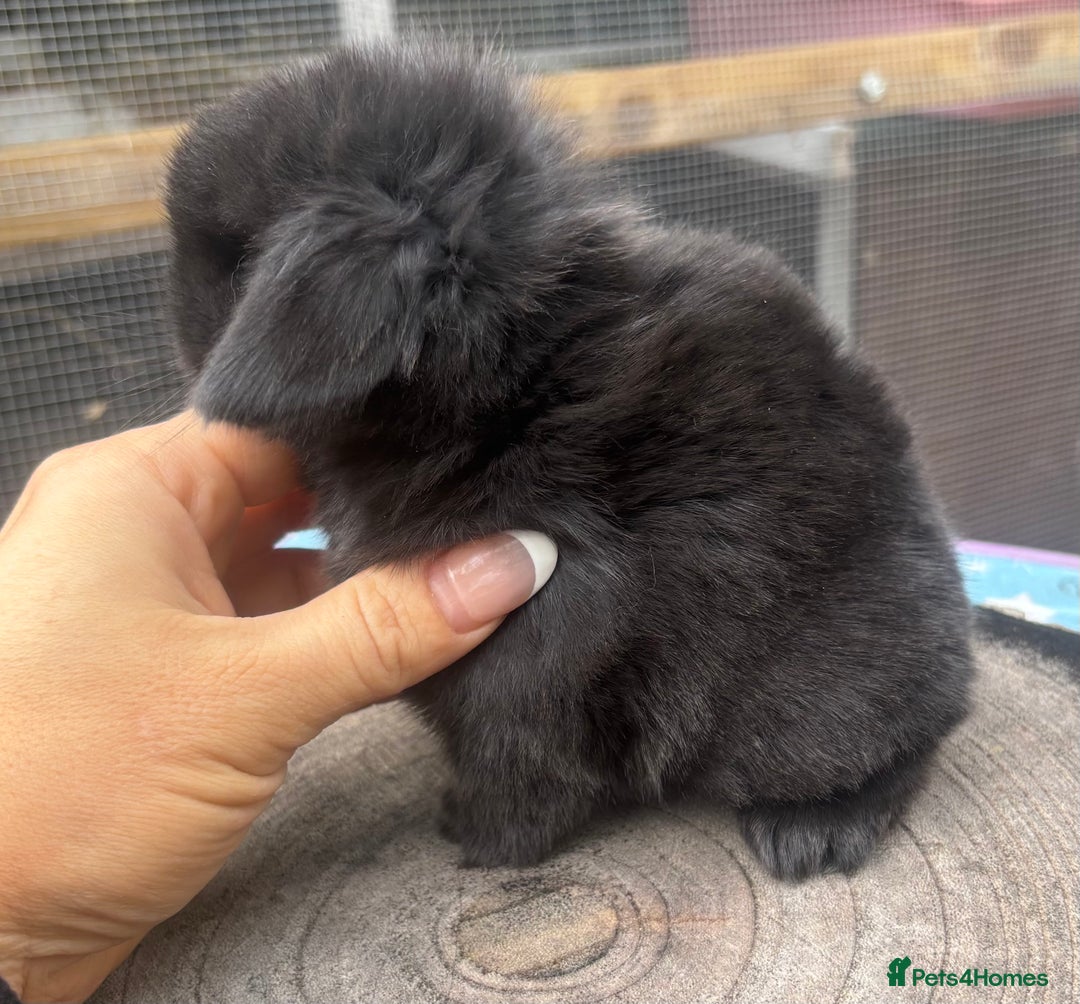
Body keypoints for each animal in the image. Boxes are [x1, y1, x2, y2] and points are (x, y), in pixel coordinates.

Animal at [164, 40, 974, 881]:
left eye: (238, 261)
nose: (182, 340)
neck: (507, 382)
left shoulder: (543, 638)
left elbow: (517, 763)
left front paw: (475, 840)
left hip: (816, 717)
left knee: (902, 755)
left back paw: (812, 832)